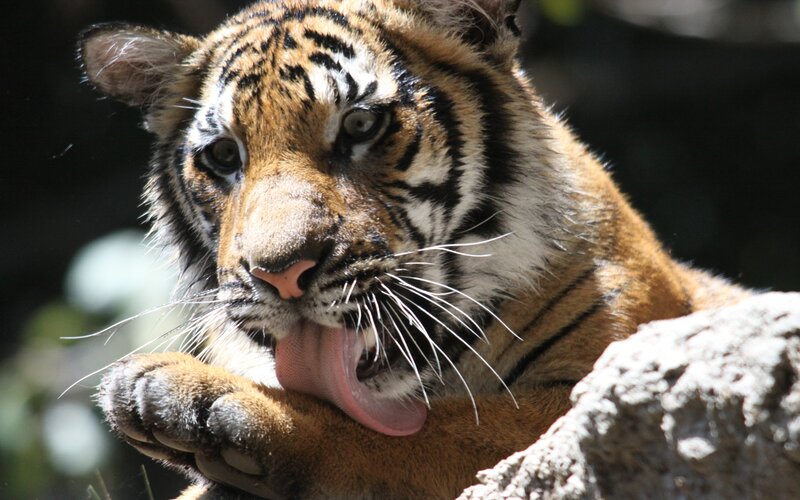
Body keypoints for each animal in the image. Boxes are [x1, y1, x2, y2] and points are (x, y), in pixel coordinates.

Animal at [78, 0, 749, 498]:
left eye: (360, 125)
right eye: (223, 156)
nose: (282, 275)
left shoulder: (593, 393)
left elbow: (427, 431)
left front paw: (200, 400)